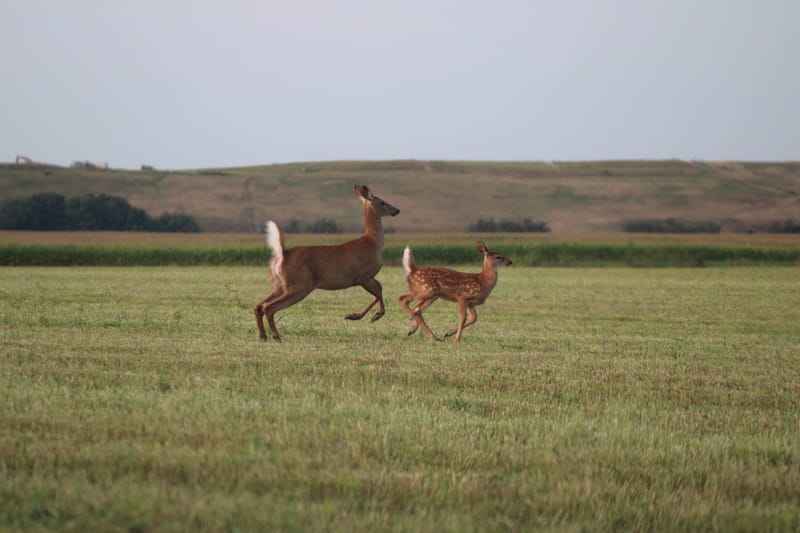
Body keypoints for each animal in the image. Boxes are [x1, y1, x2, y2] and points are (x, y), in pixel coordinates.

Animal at [254, 184, 400, 341]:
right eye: (383, 202)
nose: (397, 210)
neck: (372, 243)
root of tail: (282, 254)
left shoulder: (367, 277)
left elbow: (379, 289)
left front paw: (354, 315)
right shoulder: (364, 276)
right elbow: (379, 291)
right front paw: (375, 315)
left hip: (279, 285)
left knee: (258, 306)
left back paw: (263, 336)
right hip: (300, 285)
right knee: (268, 307)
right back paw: (276, 336)